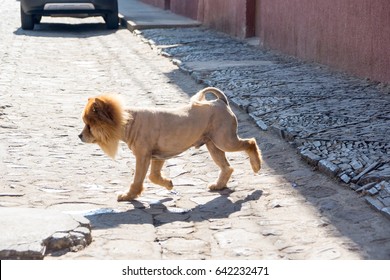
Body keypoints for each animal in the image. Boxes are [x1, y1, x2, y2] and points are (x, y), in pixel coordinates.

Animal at [78, 87, 262, 201]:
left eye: (89, 125)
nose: (79, 136)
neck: (129, 122)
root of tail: (221, 102)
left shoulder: (143, 157)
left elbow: (138, 179)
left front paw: (128, 195)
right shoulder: (157, 157)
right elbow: (153, 176)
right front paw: (168, 184)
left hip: (225, 141)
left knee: (250, 143)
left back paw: (256, 166)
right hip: (213, 145)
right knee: (227, 167)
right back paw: (219, 185)